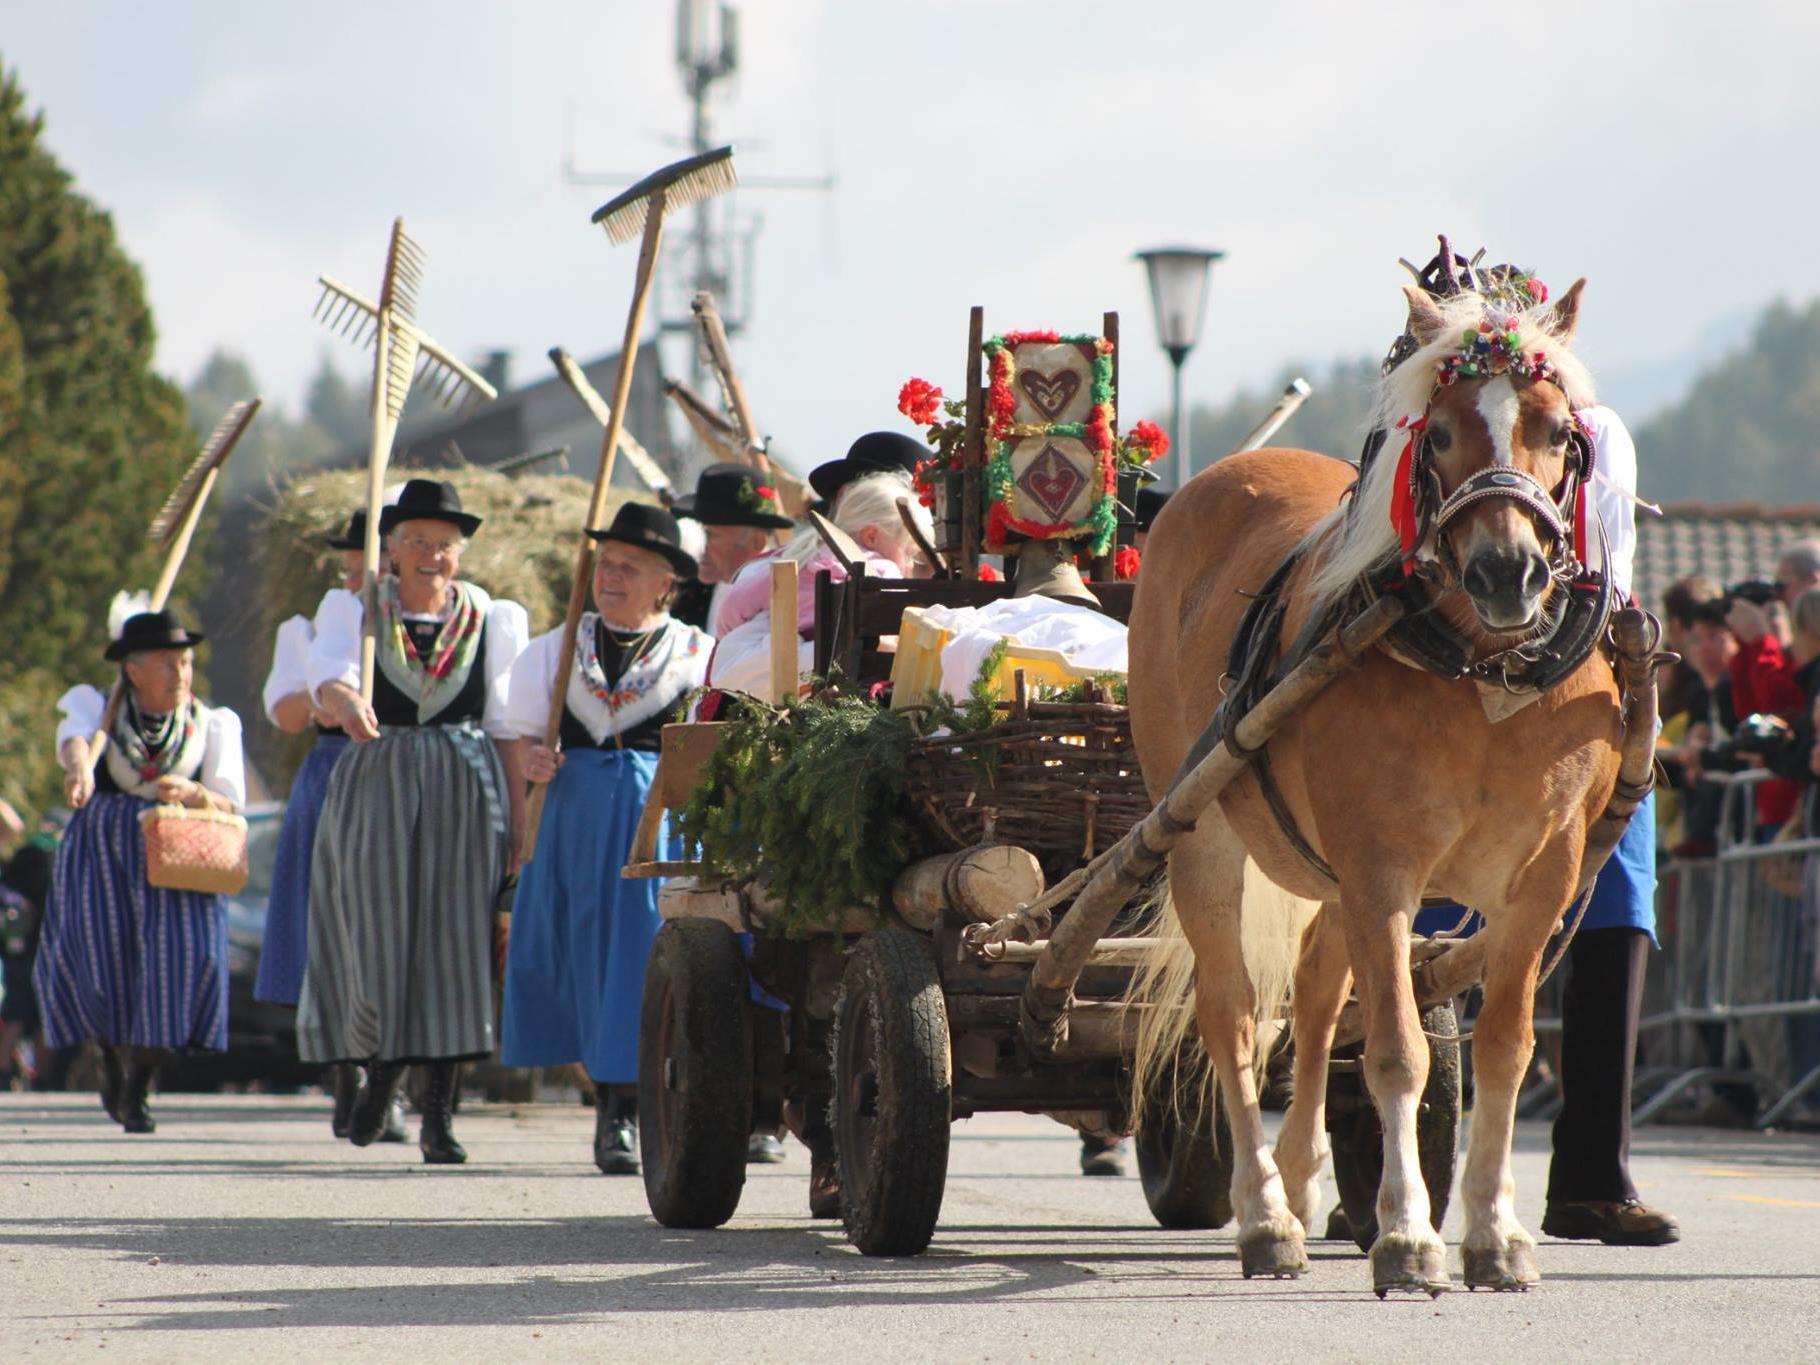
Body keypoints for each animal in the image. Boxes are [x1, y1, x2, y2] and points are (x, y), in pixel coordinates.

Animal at [1128, 278, 1630, 1295]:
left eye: (1560, 432)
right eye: (1435, 434)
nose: (1508, 571)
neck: (1482, 677)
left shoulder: (1541, 881)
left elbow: (1504, 1049)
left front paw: (1494, 1232)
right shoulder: (1382, 868)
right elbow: (1397, 1050)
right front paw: (1407, 1234)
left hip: (1329, 881)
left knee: (1316, 1002)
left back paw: (1300, 1176)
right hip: (1201, 828)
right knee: (1234, 1015)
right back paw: (1264, 1214)